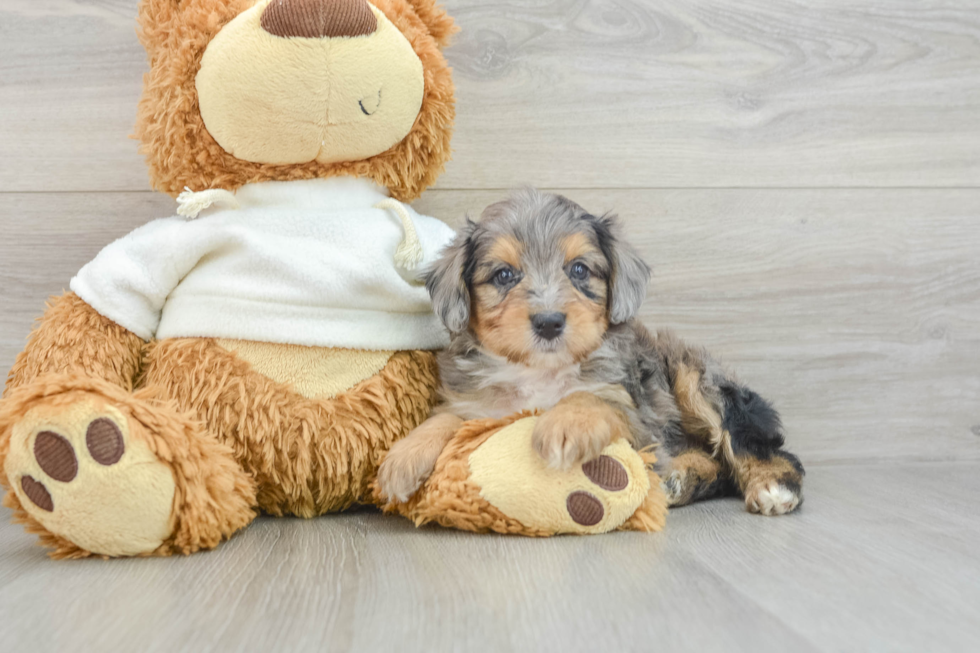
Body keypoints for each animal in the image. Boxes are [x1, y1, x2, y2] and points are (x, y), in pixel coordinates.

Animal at [376, 188, 804, 516]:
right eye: (504, 275)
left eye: (579, 270)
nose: (549, 322)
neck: (540, 371)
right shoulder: (478, 406)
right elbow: (447, 417)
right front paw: (404, 455)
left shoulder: (637, 419)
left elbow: (592, 397)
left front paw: (565, 423)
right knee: (712, 462)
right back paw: (679, 480)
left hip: (695, 379)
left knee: (754, 446)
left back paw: (771, 487)